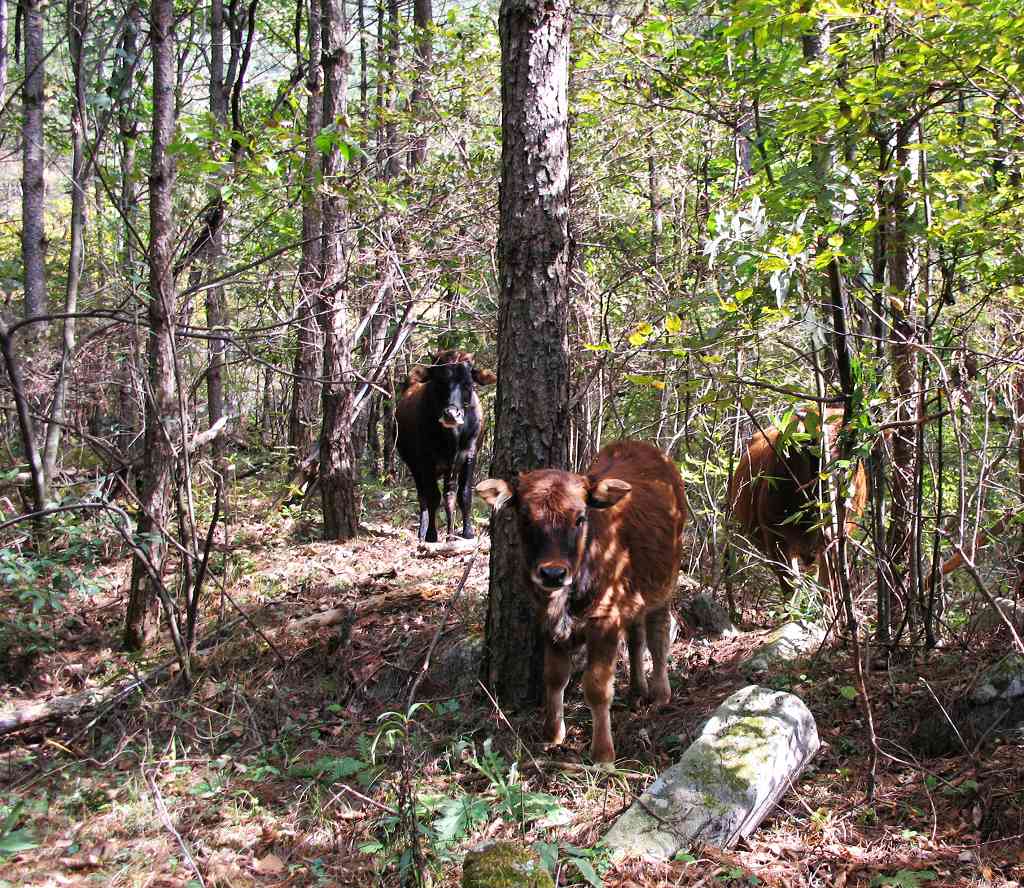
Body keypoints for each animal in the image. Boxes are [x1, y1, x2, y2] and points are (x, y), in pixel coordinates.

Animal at [473, 440, 684, 766]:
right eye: (525, 518)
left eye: (580, 518)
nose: (553, 573)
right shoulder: (548, 622)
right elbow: (554, 677)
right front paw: (553, 734)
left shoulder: (605, 620)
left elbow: (596, 687)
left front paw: (603, 753)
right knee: (636, 638)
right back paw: (638, 689)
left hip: (664, 583)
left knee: (657, 635)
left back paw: (661, 694)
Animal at [724, 407, 868, 598]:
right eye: (815, 444)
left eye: (851, 447)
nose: (841, 484)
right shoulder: (777, 544)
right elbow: (792, 590)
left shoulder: (832, 543)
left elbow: (827, 587)